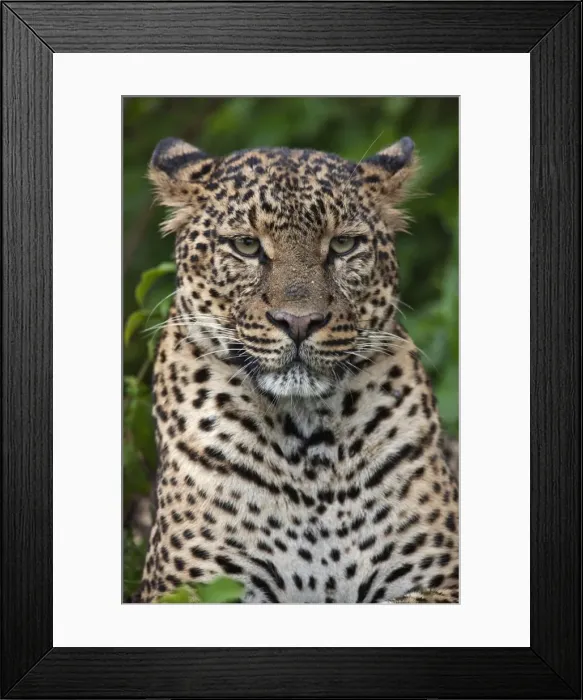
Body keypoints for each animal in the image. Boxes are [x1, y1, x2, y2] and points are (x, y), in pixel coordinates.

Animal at [132, 135, 459, 603]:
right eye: (246, 246)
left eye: (342, 246)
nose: (299, 322)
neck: (310, 451)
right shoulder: (188, 588)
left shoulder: (439, 581)